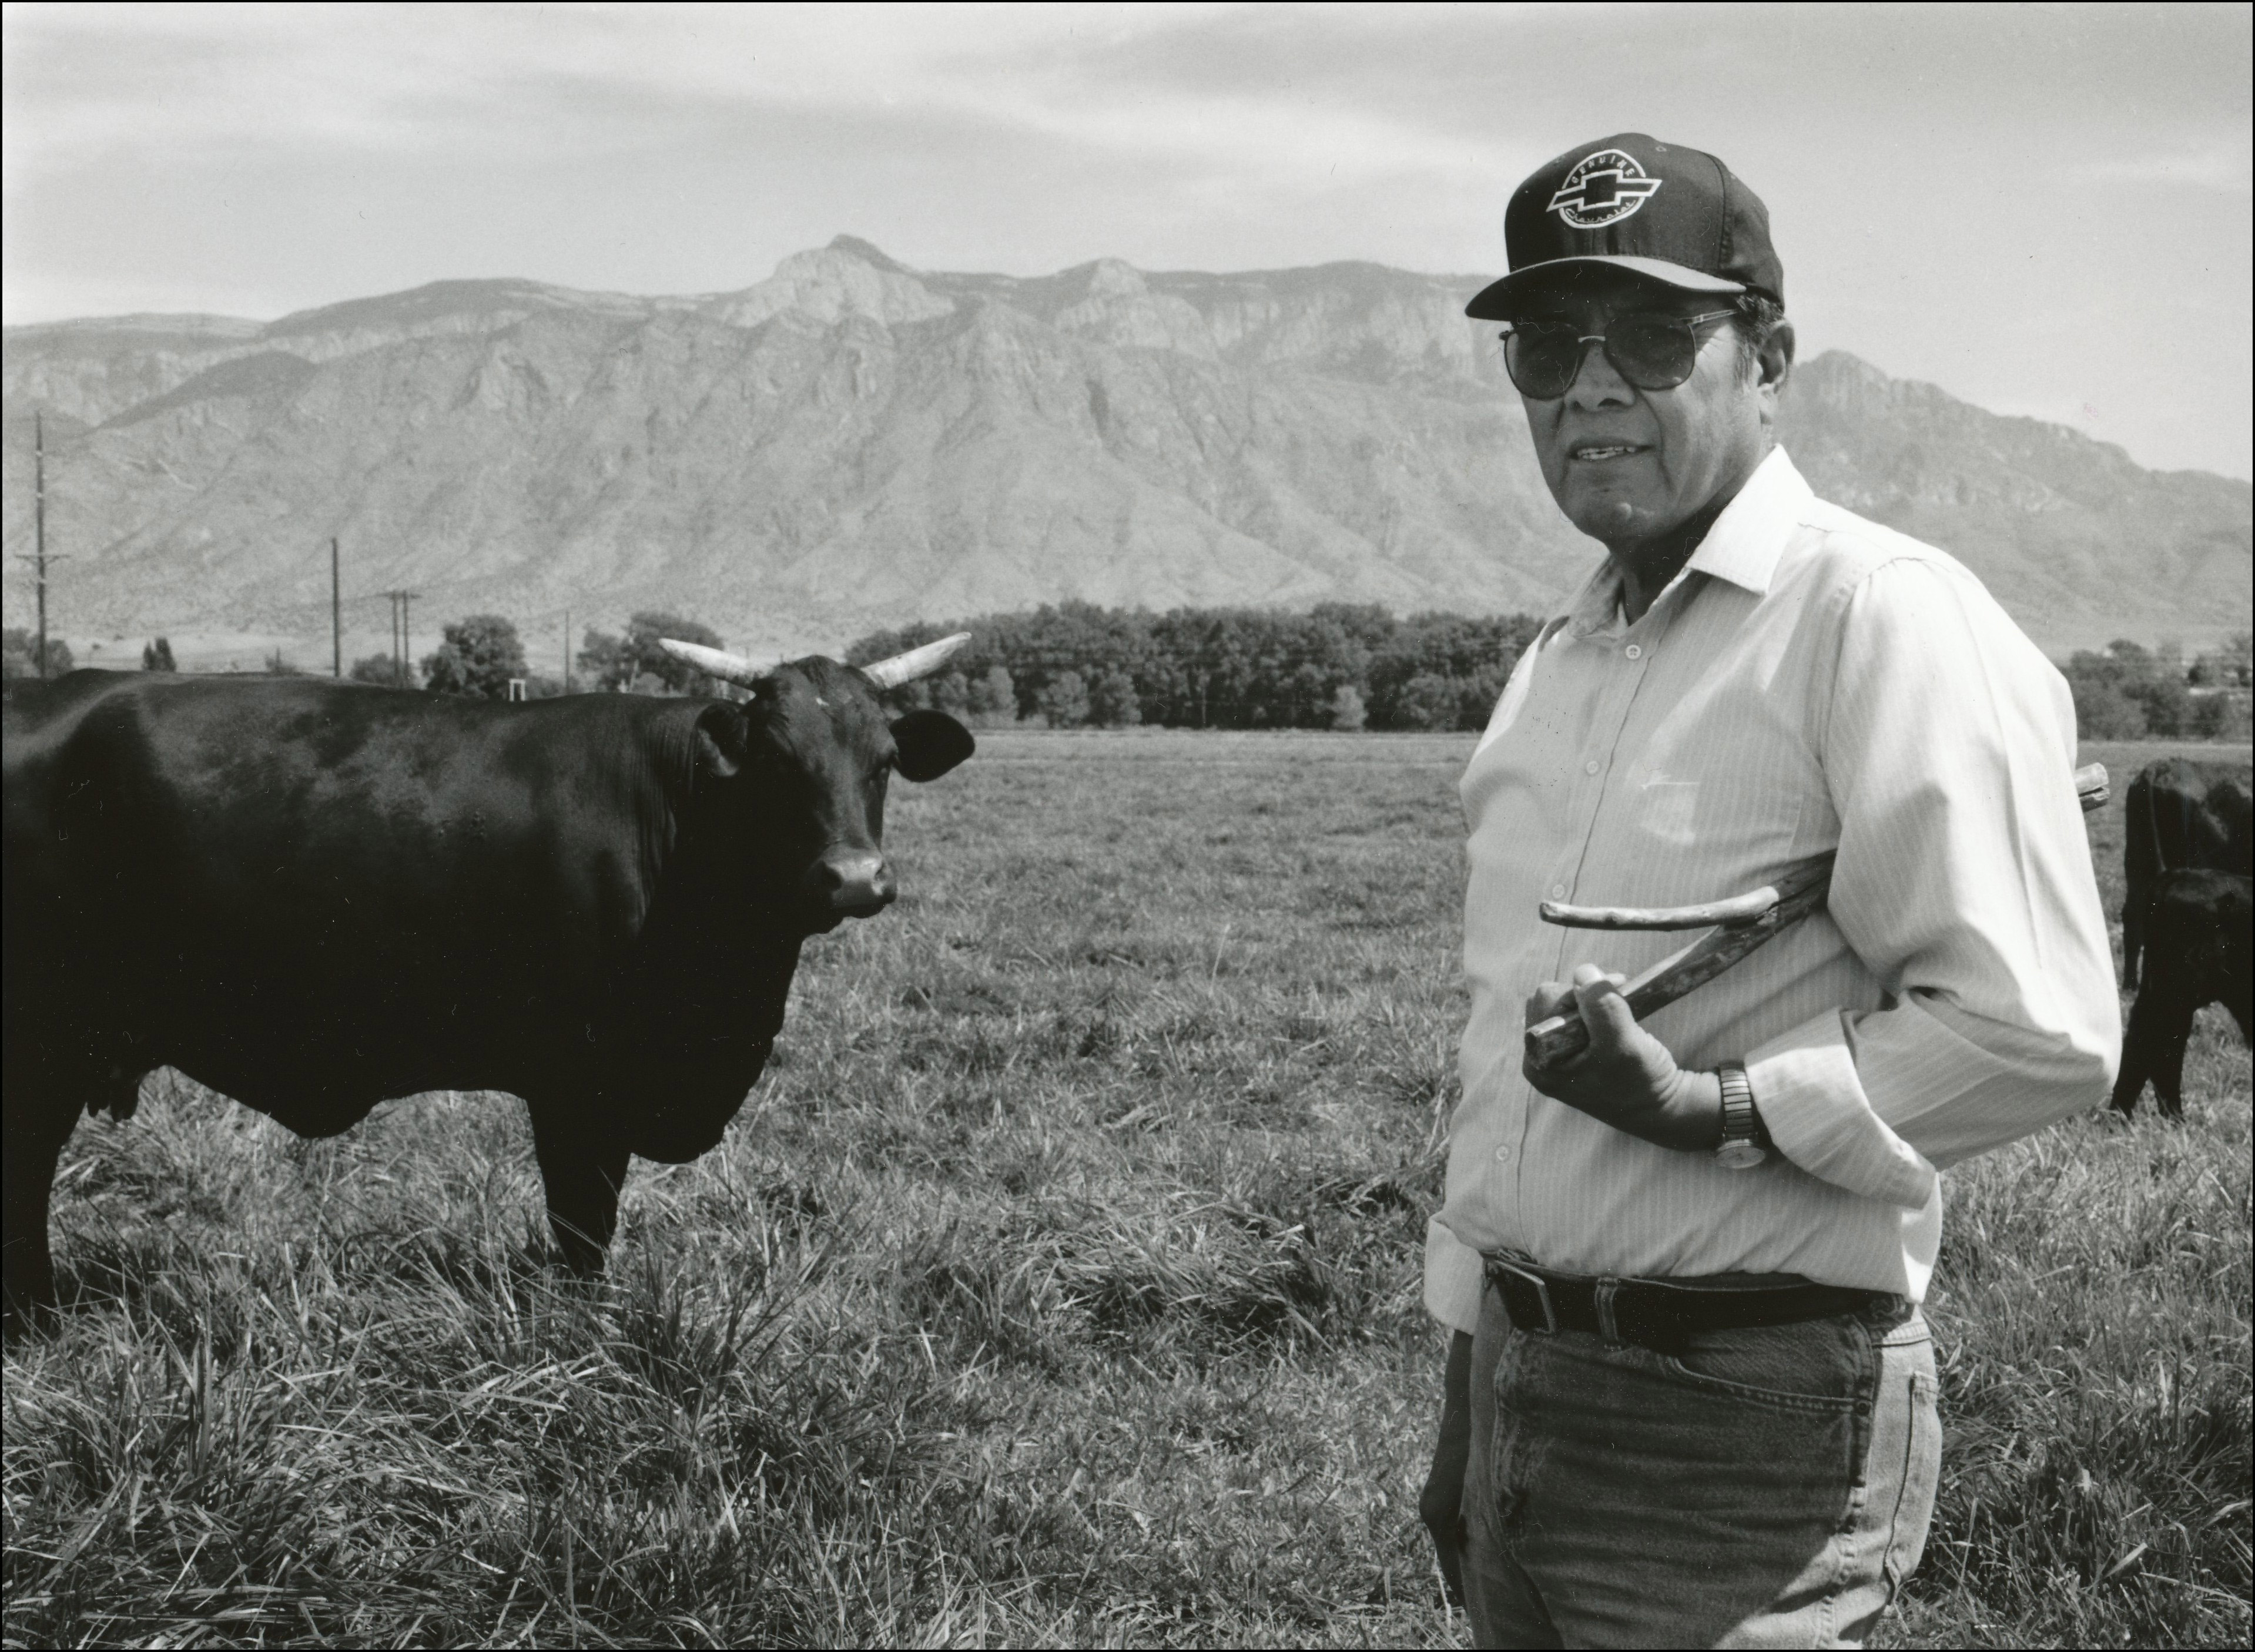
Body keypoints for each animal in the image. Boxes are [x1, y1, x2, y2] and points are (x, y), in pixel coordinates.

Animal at [8, 631, 979, 1325]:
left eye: (883, 760)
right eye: (778, 758)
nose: (854, 877)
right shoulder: (577, 1083)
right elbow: (582, 1226)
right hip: (42, 1042)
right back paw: (37, 1319)